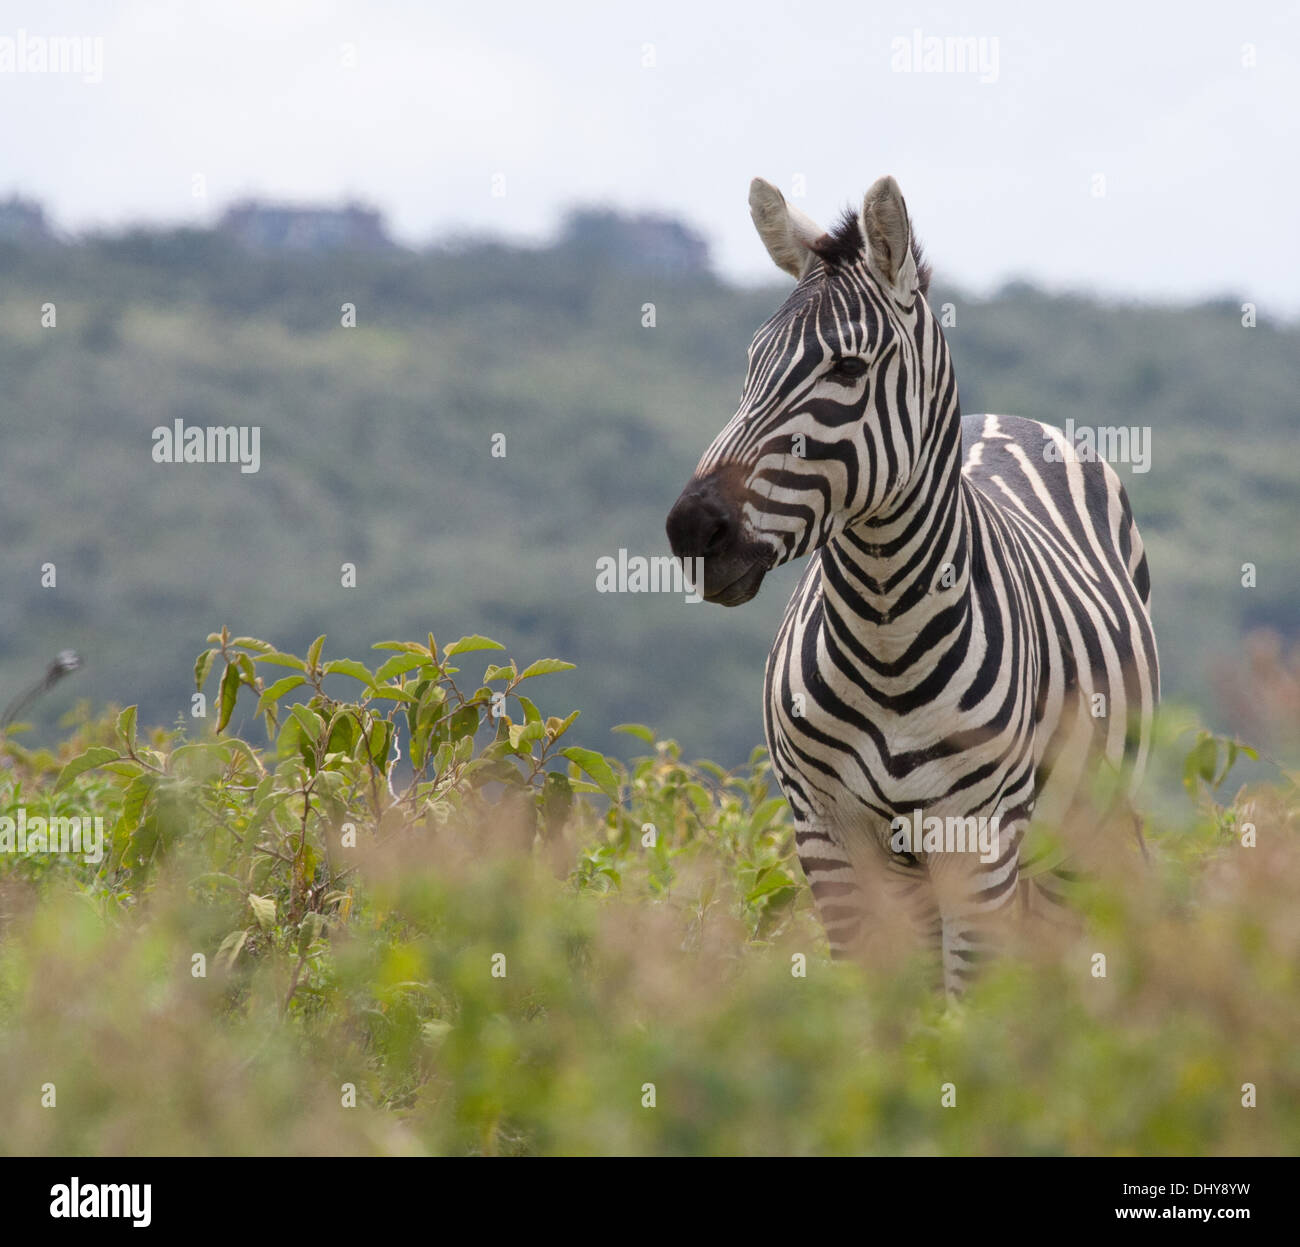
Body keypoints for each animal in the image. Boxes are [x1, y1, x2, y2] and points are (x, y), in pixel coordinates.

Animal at [666, 175, 1159, 995]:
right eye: (752, 364)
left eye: (847, 369)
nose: (691, 530)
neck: (885, 633)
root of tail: (1008, 419)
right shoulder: (827, 835)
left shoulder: (979, 840)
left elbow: (963, 1013)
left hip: (1080, 832)